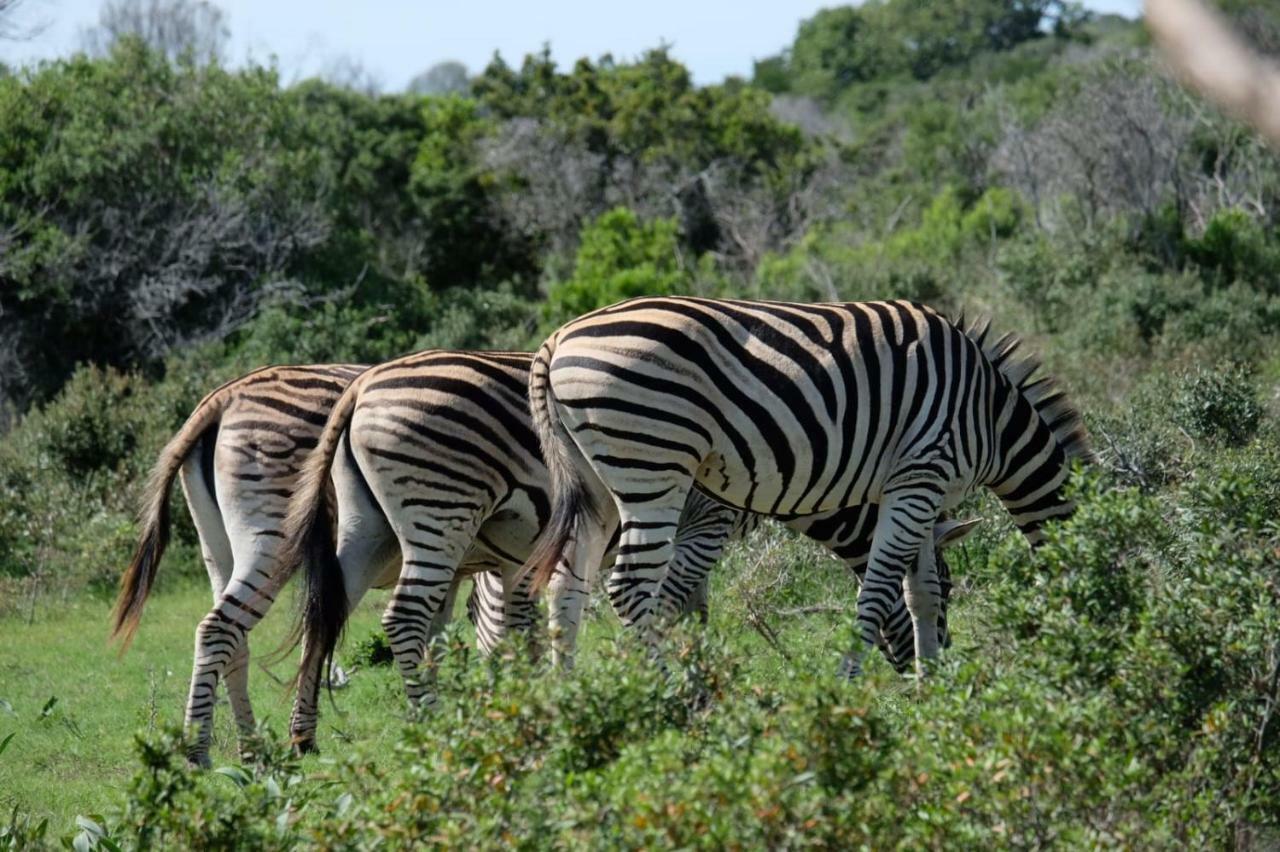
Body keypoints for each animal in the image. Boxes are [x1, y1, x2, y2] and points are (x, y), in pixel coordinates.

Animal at [113, 360, 540, 767]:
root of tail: (222, 397)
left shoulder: (450, 558)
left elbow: (439, 637)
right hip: (273, 532)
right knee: (221, 627)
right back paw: (200, 752)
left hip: (216, 547)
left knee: (236, 638)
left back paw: (251, 748)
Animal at [280, 345, 972, 752]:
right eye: (946, 593)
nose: (933, 673)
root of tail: (363, 385)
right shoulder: (708, 519)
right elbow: (673, 603)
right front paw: (680, 685)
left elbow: (689, 608)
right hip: (439, 509)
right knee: (401, 616)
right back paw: (433, 727)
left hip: (370, 529)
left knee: (325, 615)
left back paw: (304, 738)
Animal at [519, 295, 1090, 675]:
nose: (935, 663)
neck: (989, 414)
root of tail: (554, 341)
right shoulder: (922, 472)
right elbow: (882, 589)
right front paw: (849, 681)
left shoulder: (918, 487)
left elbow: (917, 590)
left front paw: (931, 686)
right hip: (652, 464)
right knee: (631, 587)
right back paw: (670, 693)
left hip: (596, 489)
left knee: (567, 584)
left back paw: (573, 694)